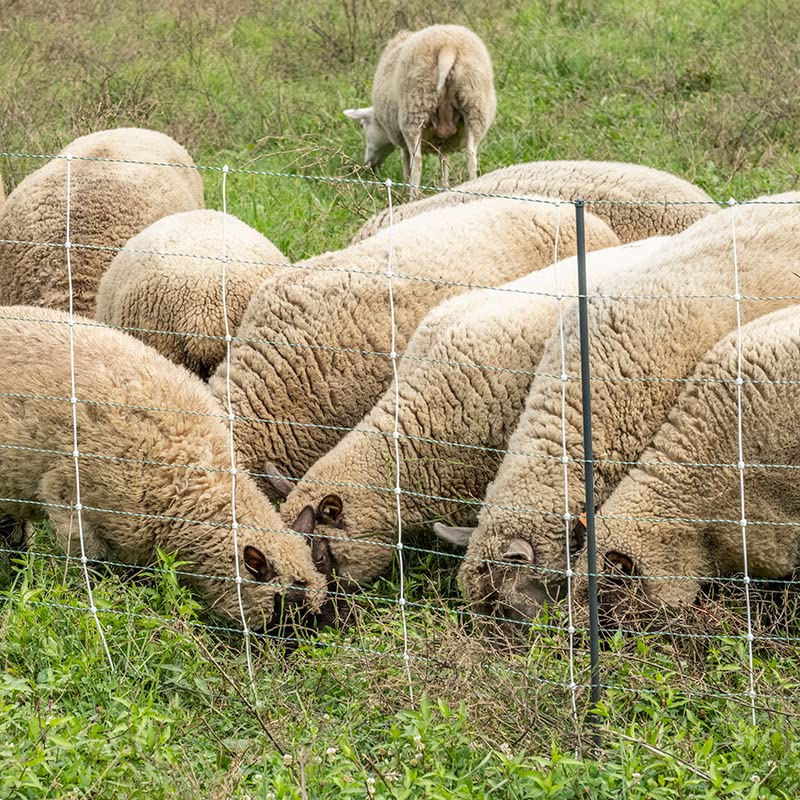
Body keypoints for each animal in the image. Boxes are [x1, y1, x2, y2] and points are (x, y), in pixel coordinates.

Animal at [344, 24, 496, 198]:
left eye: (362, 126)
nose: (368, 166)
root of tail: (448, 47)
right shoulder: (443, 140)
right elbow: (444, 162)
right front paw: (444, 188)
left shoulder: (401, 139)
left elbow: (406, 164)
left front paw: (404, 191)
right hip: (474, 105)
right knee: (471, 155)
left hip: (415, 109)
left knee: (417, 160)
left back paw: (412, 196)